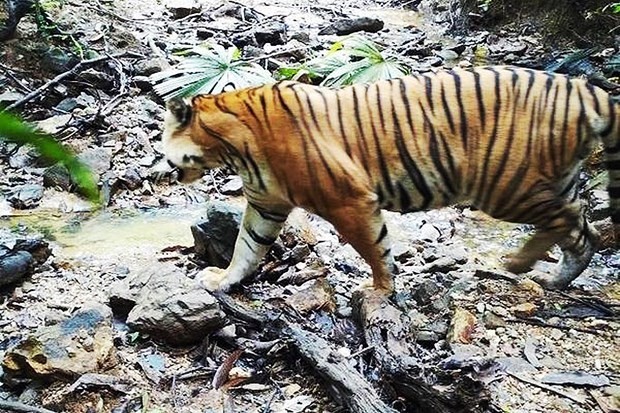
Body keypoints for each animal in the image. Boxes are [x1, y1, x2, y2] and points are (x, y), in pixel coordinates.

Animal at [162, 66, 620, 292]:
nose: (168, 171)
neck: (232, 149)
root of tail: (588, 89)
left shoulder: (349, 200)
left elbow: (375, 248)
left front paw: (380, 290)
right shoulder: (265, 204)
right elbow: (247, 247)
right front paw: (223, 281)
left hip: (507, 185)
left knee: (567, 221)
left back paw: (520, 263)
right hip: (551, 182)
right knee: (586, 231)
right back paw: (553, 278)